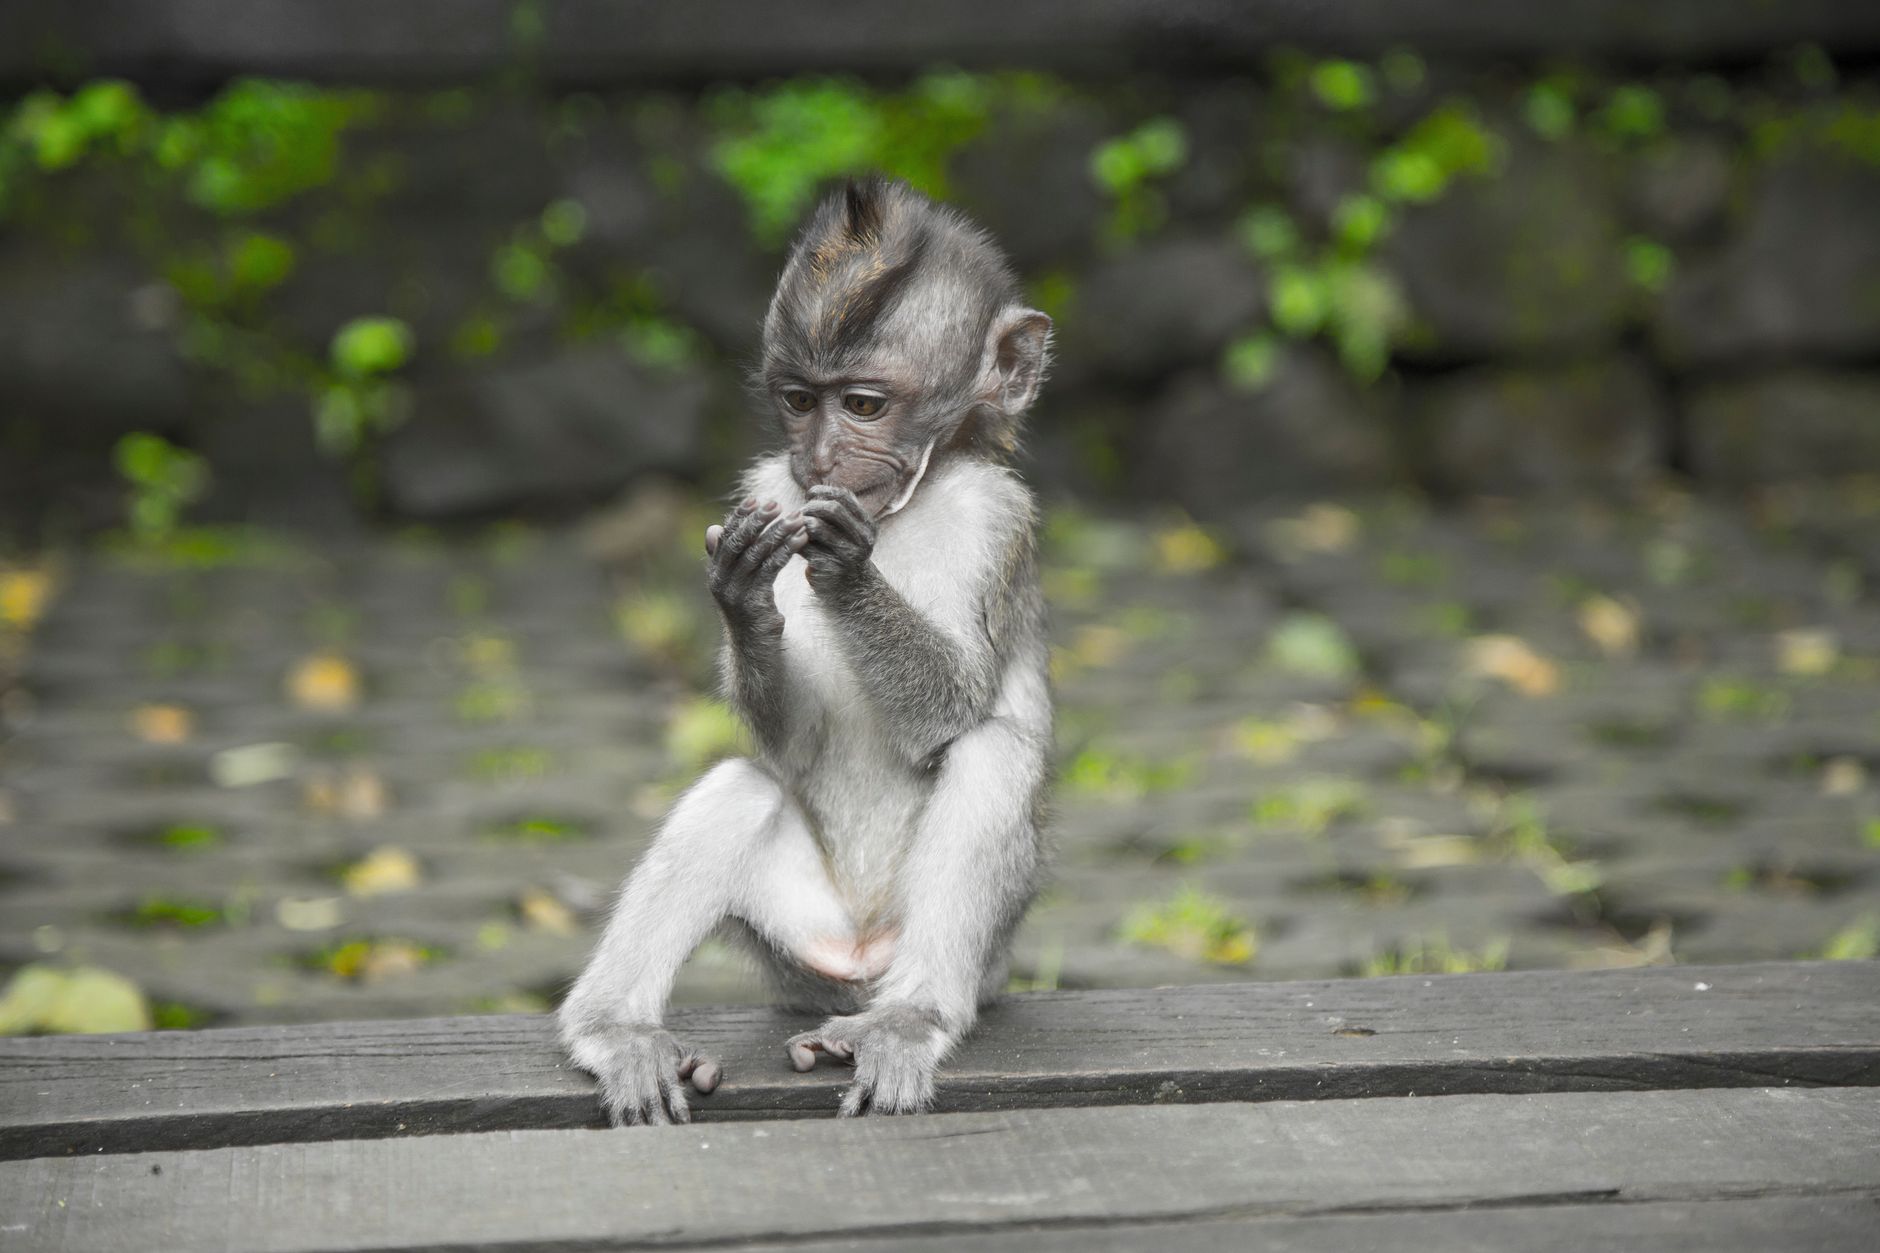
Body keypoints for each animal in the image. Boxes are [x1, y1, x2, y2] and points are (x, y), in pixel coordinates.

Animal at [558, 177, 1054, 1123]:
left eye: (861, 405)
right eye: (797, 400)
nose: (818, 457)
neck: (909, 505)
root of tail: (857, 957)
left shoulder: (999, 517)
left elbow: (959, 708)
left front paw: (849, 570)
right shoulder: (766, 487)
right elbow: (787, 744)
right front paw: (746, 600)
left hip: (988, 952)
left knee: (993, 754)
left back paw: (906, 1020)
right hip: (792, 944)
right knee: (738, 786)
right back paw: (619, 1032)